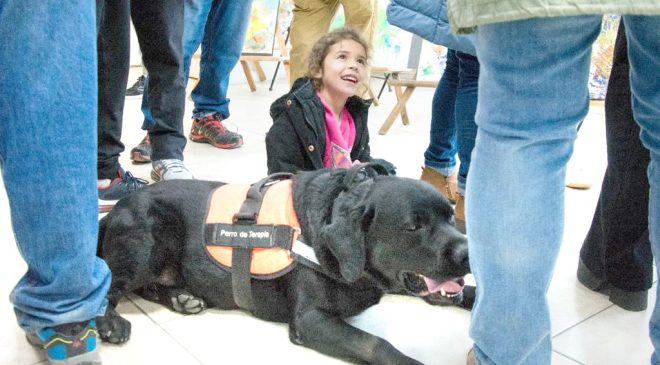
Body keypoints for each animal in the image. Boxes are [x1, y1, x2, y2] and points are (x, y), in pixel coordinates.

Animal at [96, 166, 470, 364]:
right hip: (147, 242)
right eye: (413, 226)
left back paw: (181, 298)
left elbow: (466, 293)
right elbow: (377, 343)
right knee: (108, 286)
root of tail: (112, 211)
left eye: (451, 215)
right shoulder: (311, 319)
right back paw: (110, 323)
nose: (468, 252)